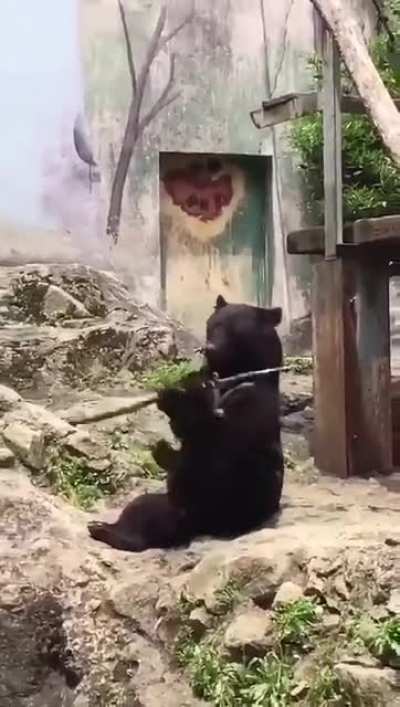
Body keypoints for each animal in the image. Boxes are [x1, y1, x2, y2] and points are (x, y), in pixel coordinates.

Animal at [88, 295, 284, 551]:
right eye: (213, 326)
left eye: (235, 331)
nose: (210, 348)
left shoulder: (252, 402)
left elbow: (218, 441)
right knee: (142, 508)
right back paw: (102, 526)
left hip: (231, 502)